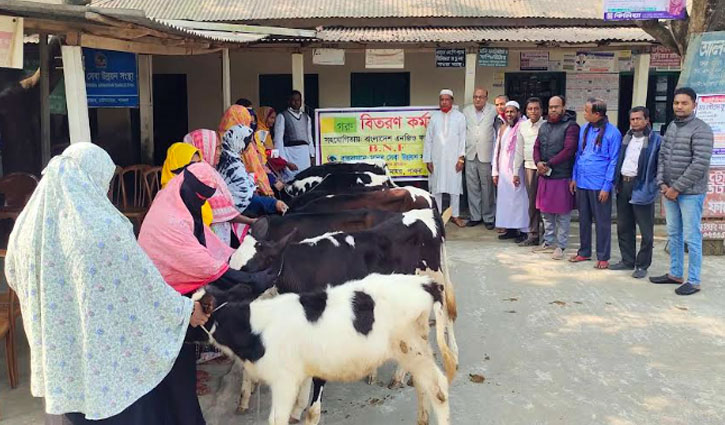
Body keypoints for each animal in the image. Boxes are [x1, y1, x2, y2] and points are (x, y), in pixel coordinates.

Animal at [192, 272, 452, 424]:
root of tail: (424, 283)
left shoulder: (284, 380)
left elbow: (278, 418)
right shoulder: (304, 370)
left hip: (410, 347)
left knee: (437, 387)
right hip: (416, 346)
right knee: (423, 384)